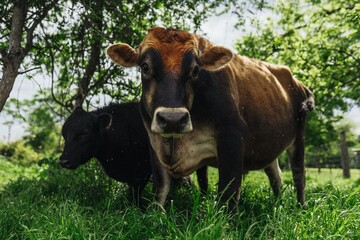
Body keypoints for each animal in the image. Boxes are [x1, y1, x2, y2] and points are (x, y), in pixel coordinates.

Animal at [106, 26, 312, 210]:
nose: (172, 119)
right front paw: (157, 216)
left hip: (299, 137)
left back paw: (300, 208)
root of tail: (297, 81)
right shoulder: (154, 142)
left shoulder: (232, 142)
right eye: (145, 67)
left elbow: (228, 196)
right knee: (275, 176)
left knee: (299, 175)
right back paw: (278, 204)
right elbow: (161, 189)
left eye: (196, 70)